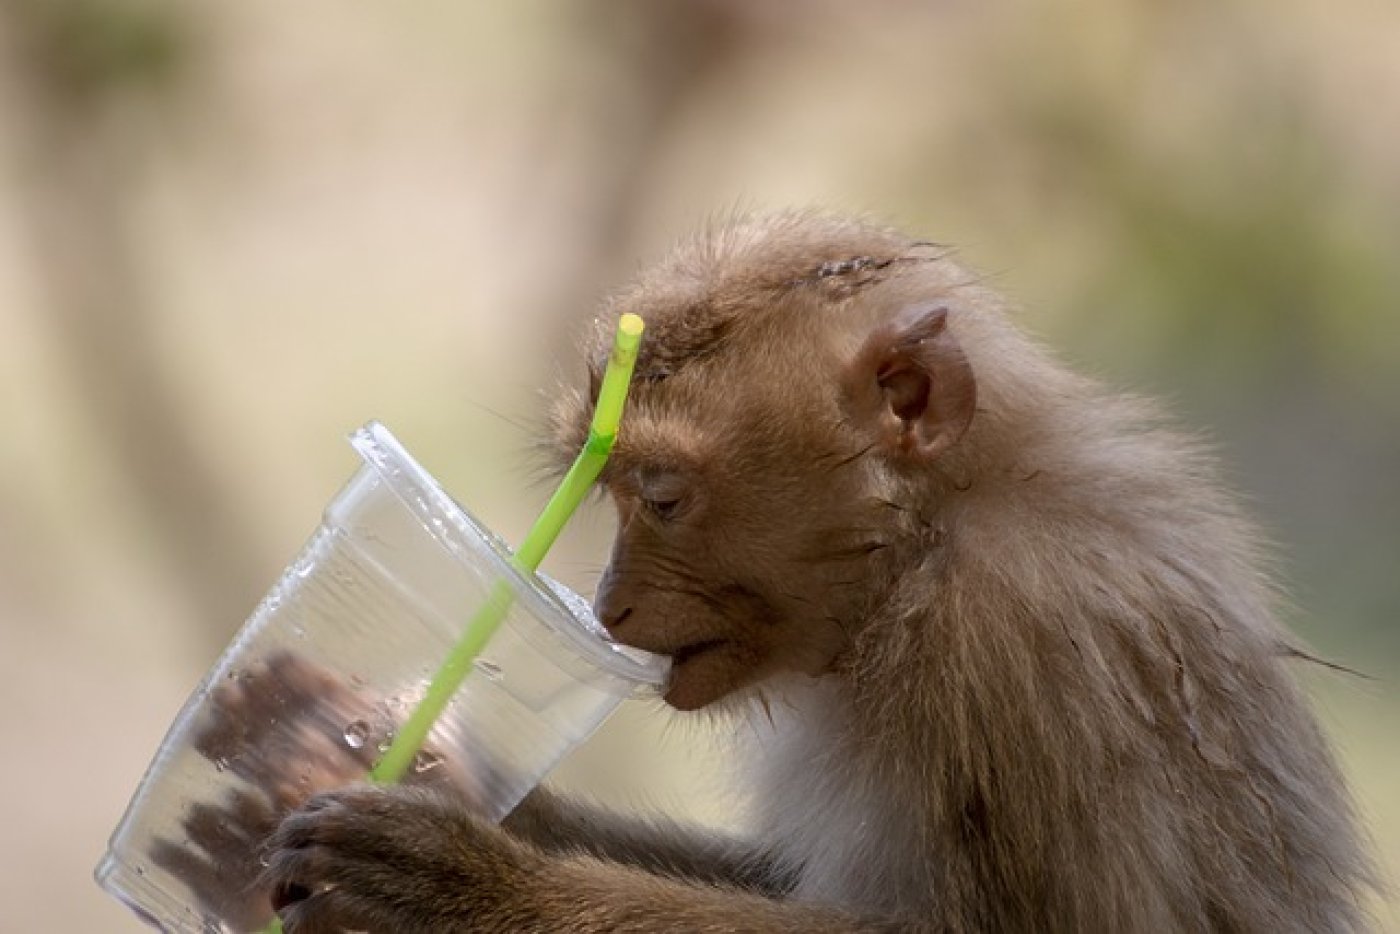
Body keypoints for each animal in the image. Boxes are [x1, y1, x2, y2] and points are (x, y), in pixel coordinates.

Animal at [177, 214, 1377, 934]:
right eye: (610, 494)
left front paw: (467, 886)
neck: (923, 556)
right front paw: (375, 764)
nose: (607, 601)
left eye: (661, 495)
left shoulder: (1020, 646)